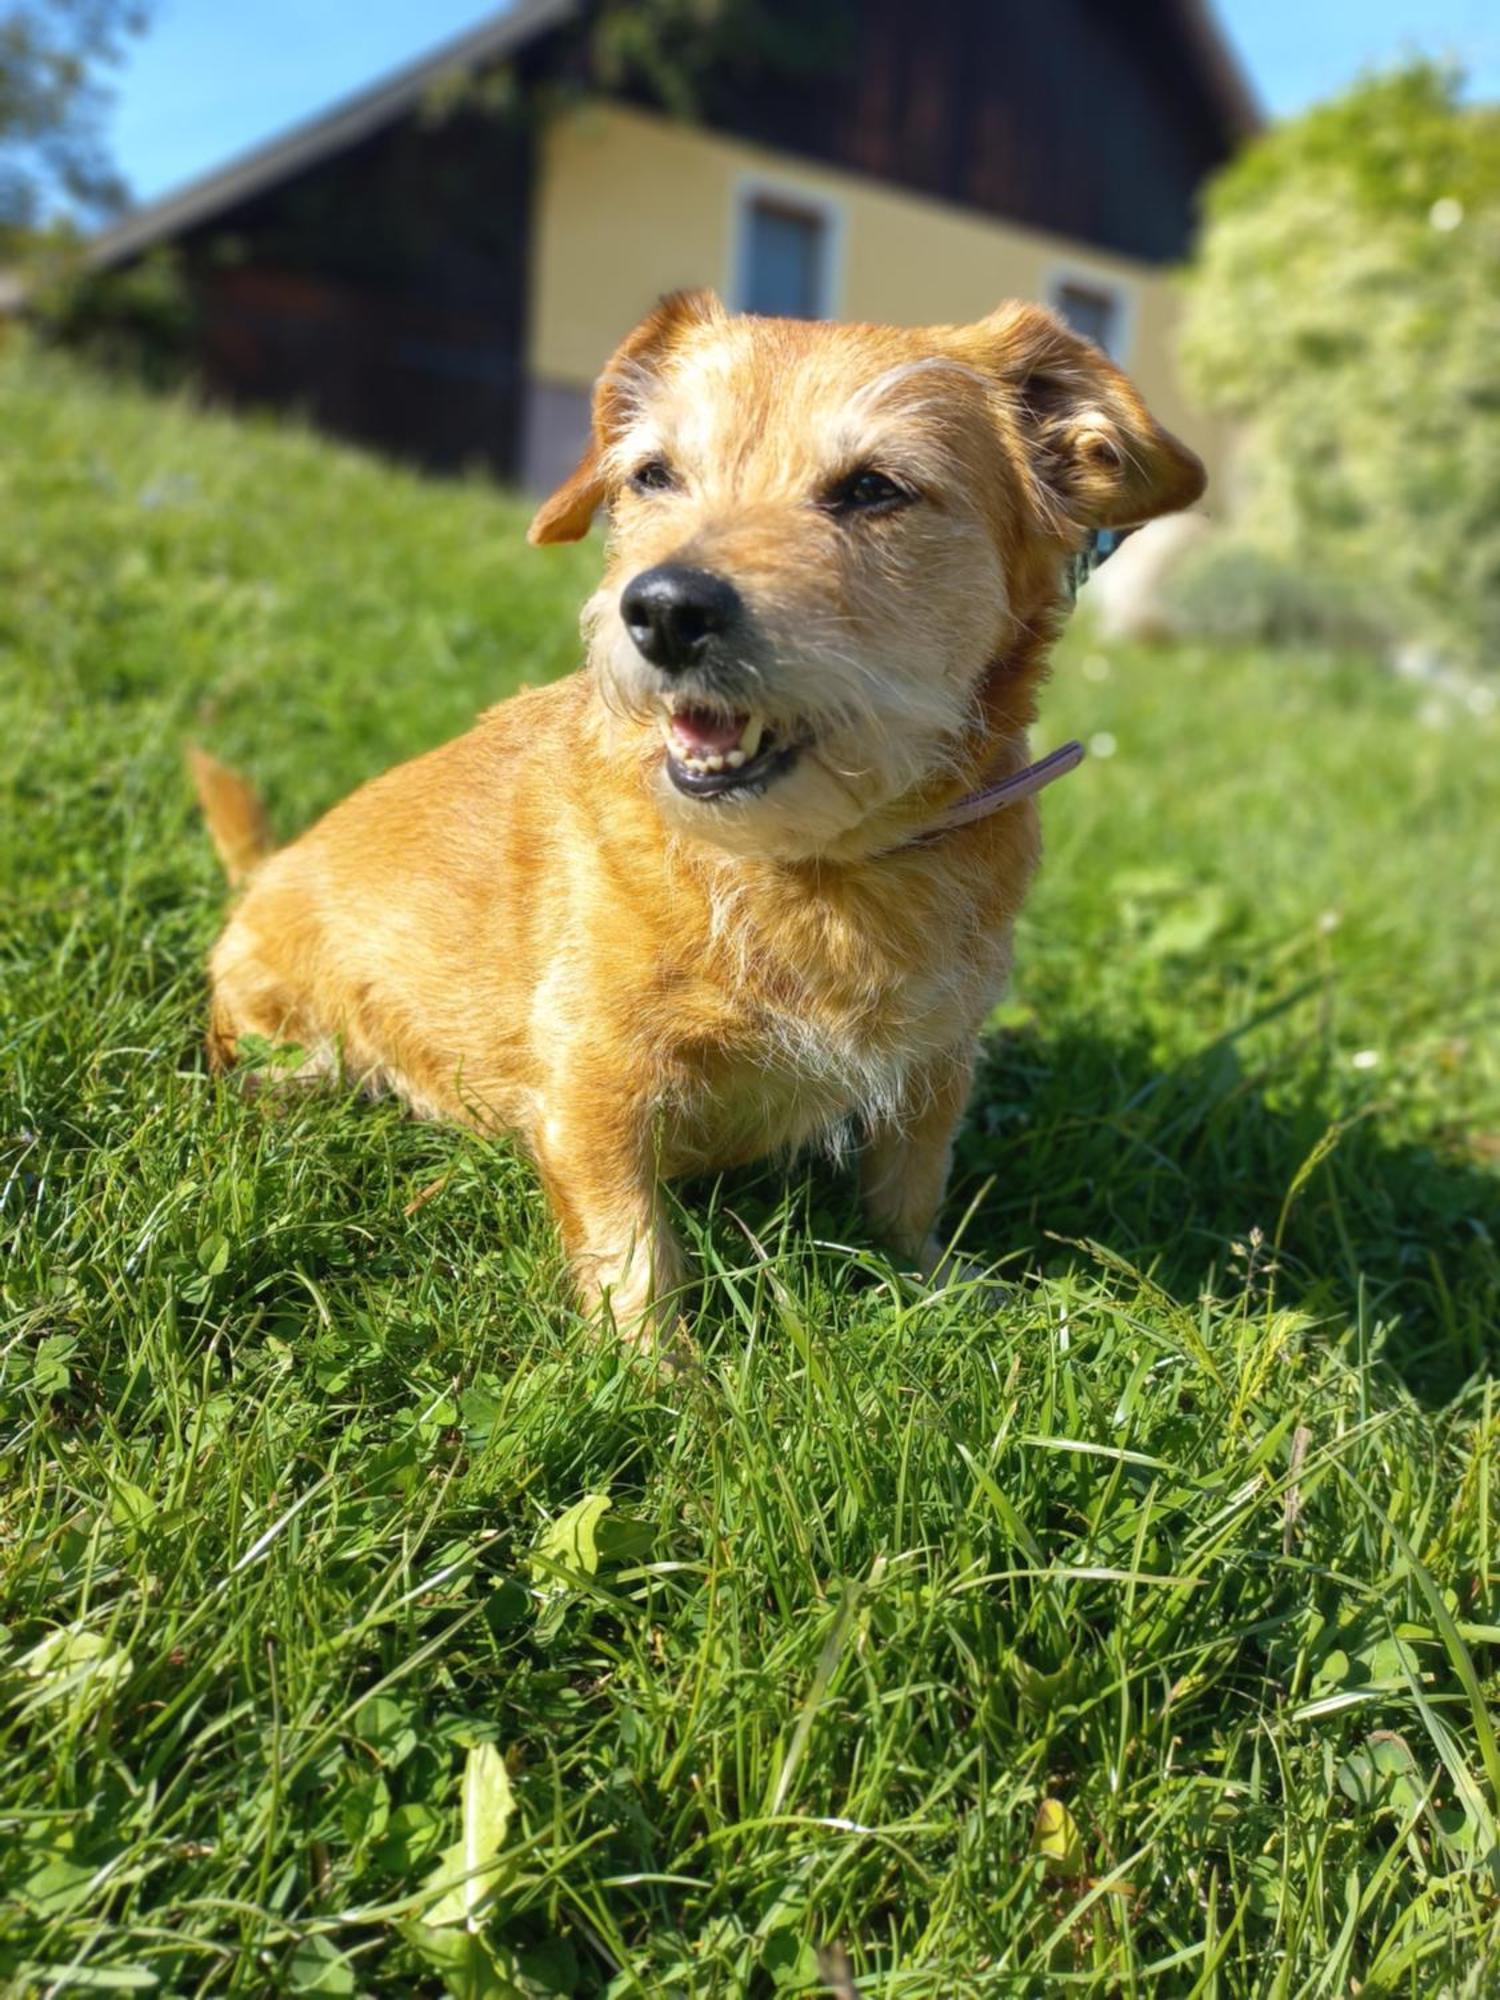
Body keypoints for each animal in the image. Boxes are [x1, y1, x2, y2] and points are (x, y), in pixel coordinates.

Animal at [197, 286, 1208, 1344]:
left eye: (875, 488)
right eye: (652, 474)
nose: (664, 610)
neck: (816, 867)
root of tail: (266, 871)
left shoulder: (937, 1061)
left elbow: (909, 1190)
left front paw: (941, 1285)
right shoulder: (593, 1085)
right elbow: (634, 1252)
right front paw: (657, 1373)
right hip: (295, 1045)